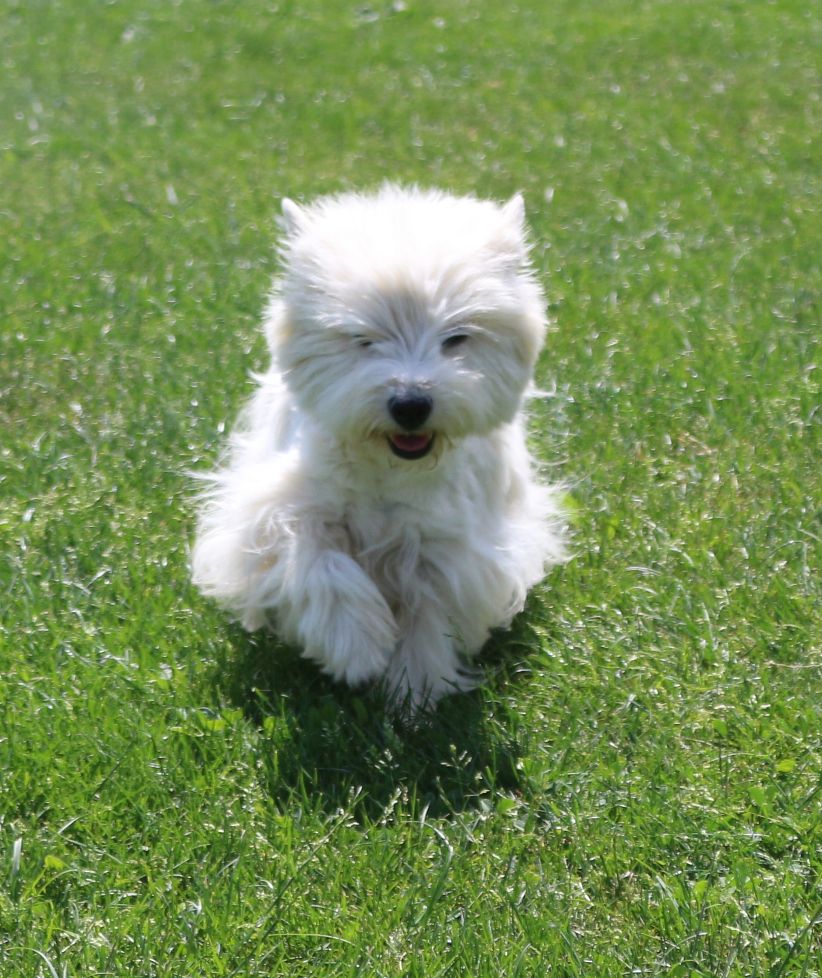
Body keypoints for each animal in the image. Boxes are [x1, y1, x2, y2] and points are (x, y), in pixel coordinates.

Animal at [192, 183, 568, 708]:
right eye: (361, 337)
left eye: (457, 338)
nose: (410, 404)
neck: (388, 469)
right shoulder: (278, 508)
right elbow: (315, 559)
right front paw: (357, 648)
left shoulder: (446, 545)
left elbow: (429, 611)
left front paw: (416, 692)